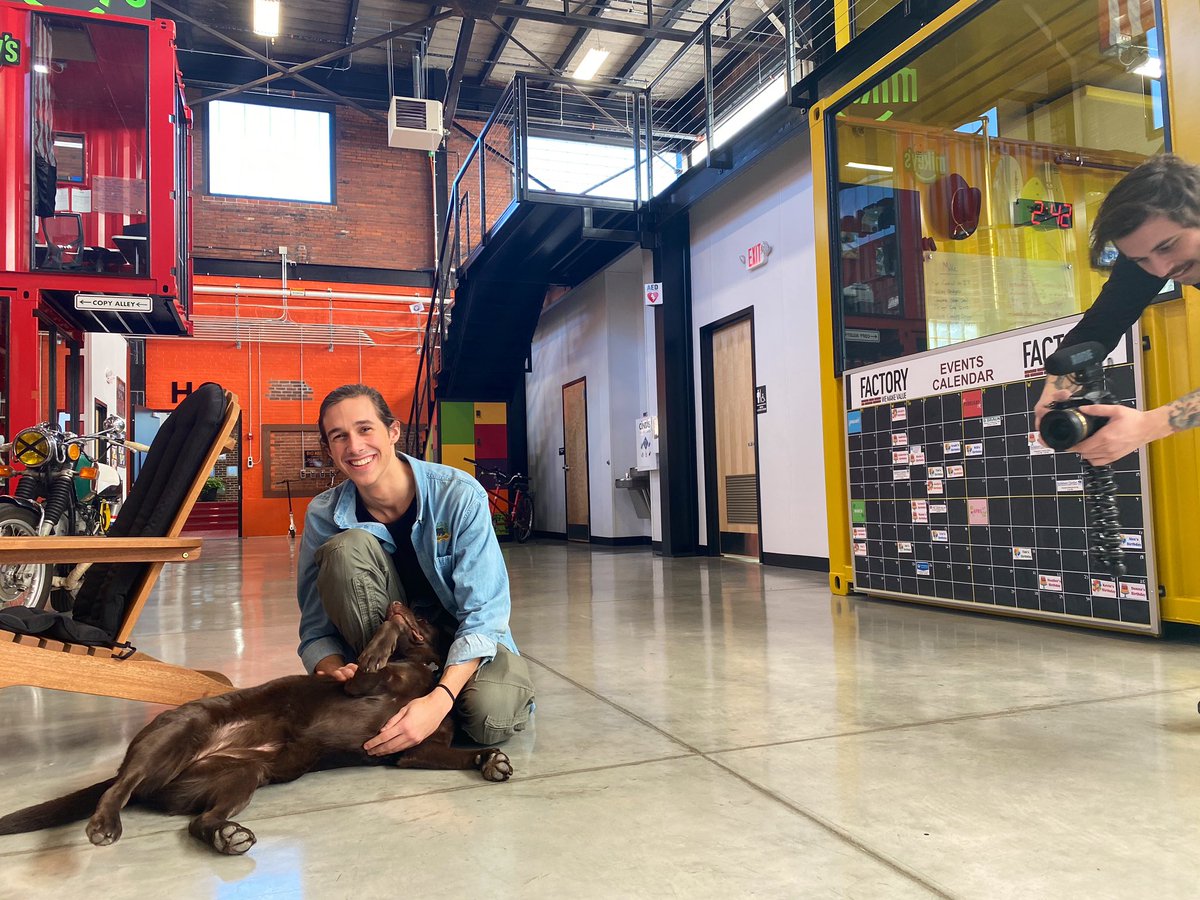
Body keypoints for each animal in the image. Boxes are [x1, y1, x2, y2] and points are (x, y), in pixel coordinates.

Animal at [0, 602, 511, 855]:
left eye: (424, 615)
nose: (396, 601)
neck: (425, 670)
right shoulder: (361, 682)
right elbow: (373, 653)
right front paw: (382, 633)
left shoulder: (411, 751)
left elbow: (460, 755)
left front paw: (490, 760)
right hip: (176, 734)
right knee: (119, 787)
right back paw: (106, 823)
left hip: (243, 774)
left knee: (198, 822)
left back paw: (226, 837)